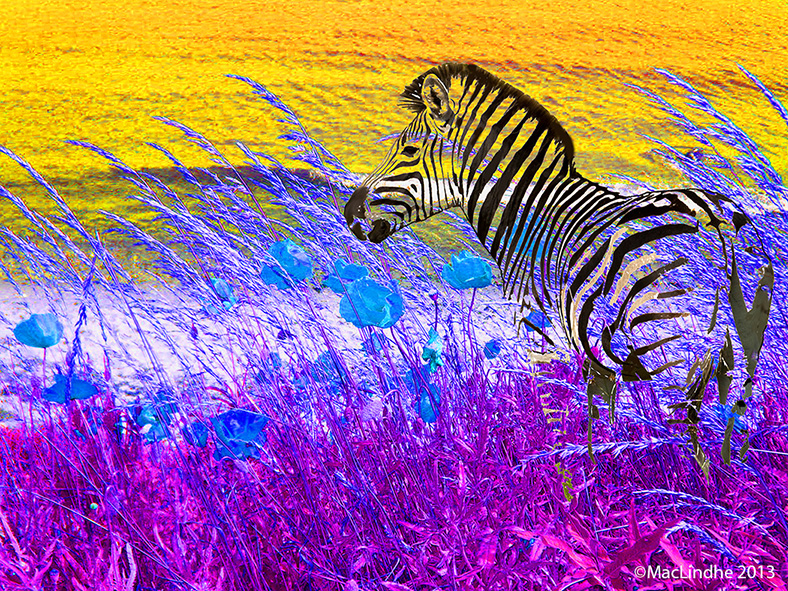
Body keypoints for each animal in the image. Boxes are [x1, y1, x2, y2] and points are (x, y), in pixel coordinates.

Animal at [342, 63, 773, 474]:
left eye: (409, 150)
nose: (350, 214)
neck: (530, 213)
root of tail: (715, 221)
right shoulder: (596, 352)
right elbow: (604, 416)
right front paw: (603, 469)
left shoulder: (537, 326)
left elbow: (552, 402)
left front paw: (561, 474)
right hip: (740, 348)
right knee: (729, 422)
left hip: (670, 342)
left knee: (687, 422)